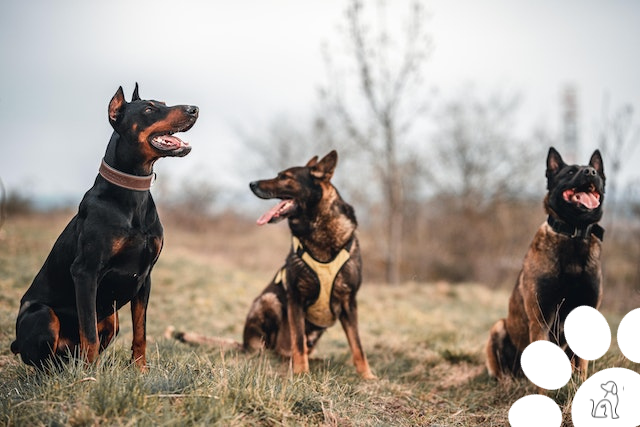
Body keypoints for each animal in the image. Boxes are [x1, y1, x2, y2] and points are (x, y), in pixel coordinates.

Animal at [11, 84, 198, 372]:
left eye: (164, 103)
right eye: (149, 109)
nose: (194, 109)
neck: (132, 195)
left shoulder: (145, 278)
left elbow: (141, 332)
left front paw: (140, 371)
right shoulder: (85, 272)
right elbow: (89, 332)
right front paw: (91, 377)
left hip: (112, 318)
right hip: (42, 314)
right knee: (47, 360)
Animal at [484, 147, 604, 382]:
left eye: (593, 171)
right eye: (570, 172)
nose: (591, 172)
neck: (573, 235)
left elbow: (582, 367)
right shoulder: (541, 318)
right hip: (499, 327)